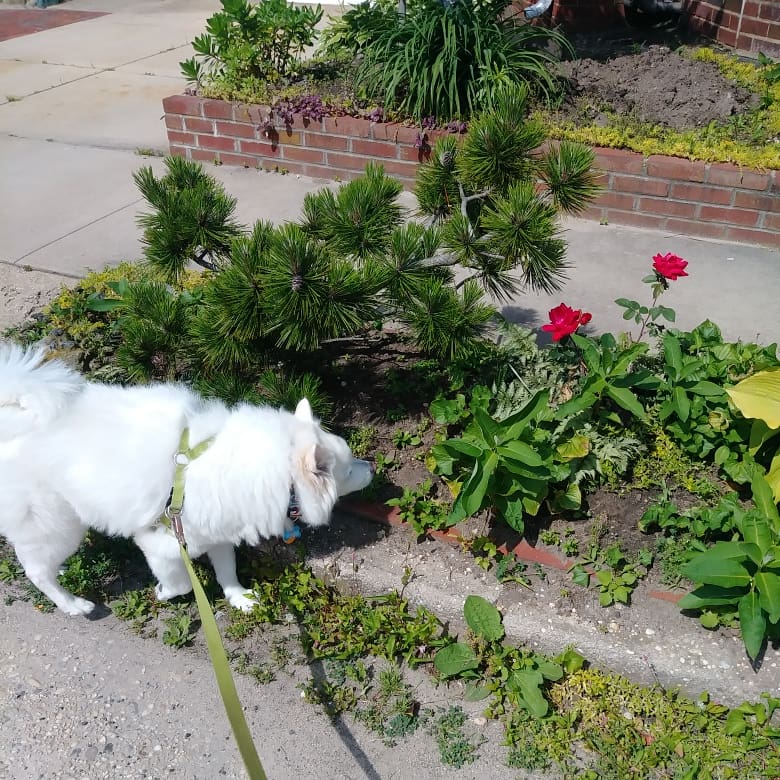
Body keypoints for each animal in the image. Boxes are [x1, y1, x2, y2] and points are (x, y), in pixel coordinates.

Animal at [0, 343, 373, 616]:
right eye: (348, 470)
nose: (371, 467)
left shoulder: (217, 530)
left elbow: (227, 569)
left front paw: (239, 597)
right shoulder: (160, 542)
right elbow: (180, 582)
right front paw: (163, 592)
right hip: (56, 524)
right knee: (36, 570)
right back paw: (72, 604)